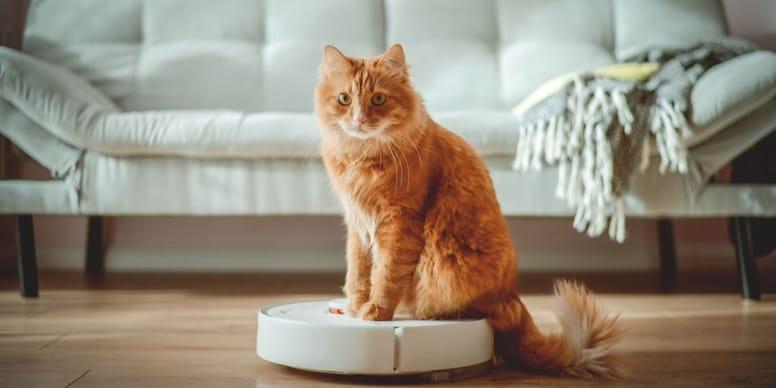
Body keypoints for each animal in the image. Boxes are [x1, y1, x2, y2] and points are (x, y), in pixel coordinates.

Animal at [312, 44, 620, 378]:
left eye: (378, 99)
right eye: (344, 99)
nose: (358, 120)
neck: (362, 156)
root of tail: (511, 296)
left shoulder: (399, 223)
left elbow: (386, 275)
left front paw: (376, 311)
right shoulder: (357, 222)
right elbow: (358, 271)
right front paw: (355, 305)